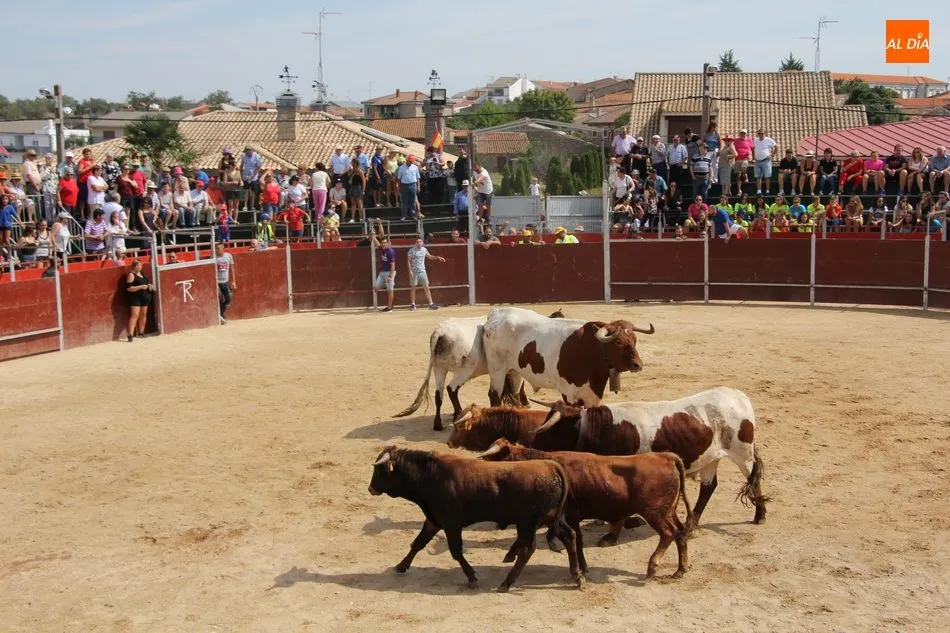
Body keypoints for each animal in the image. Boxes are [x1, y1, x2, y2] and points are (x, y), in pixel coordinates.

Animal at [368, 446, 584, 592]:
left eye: (379, 470)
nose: (371, 488)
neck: (429, 476)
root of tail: (550, 465)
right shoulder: (433, 521)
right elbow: (418, 543)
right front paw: (401, 566)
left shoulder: (451, 524)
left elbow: (456, 552)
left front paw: (472, 577)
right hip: (552, 519)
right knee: (569, 536)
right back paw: (577, 576)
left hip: (527, 523)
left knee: (527, 550)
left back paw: (506, 583)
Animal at [393, 309, 567, 431]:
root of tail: (440, 332)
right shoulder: (512, 370)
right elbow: (515, 388)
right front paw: (522, 404)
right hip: (464, 371)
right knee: (451, 389)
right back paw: (458, 414)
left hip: (439, 370)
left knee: (439, 394)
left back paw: (439, 424)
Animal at [478, 439, 691, 579]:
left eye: (495, 459)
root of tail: (665, 456)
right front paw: (510, 554)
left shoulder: (568, 516)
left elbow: (577, 541)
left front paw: (582, 567)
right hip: (668, 511)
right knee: (680, 532)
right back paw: (680, 570)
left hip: (655, 512)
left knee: (668, 534)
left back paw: (652, 567)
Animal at [481, 307, 655, 409]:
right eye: (618, 342)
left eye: (634, 339)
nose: (638, 364)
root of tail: (495, 314)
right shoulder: (569, 395)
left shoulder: (593, 397)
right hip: (497, 370)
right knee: (494, 396)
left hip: (515, 372)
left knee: (515, 394)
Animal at [530, 387, 769, 538]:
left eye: (552, 428)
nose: (532, 444)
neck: (603, 428)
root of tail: (738, 395)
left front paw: (621, 527)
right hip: (712, 457)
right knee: (708, 488)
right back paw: (691, 526)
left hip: (742, 453)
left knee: (753, 478)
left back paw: (760, 516)